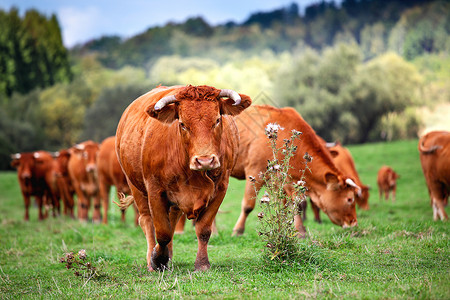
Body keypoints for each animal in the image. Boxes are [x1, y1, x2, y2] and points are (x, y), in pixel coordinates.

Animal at [114, 84, 251, 272]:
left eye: (217, 120)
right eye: (182, 124)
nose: (205, 160)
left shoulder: (221, 188)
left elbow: (203, 229)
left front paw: (202, 263)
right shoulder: (155, 190)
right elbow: (162, 232)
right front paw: (157, 259)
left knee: (172, 219)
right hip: (135, 186)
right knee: (147, 221)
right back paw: (152, 258)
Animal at [230, 105, 356, 237]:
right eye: (350, 199)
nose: (354, 223)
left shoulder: (286, 181)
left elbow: (294, 204)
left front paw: (299, 230)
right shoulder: (255, 172)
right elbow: (248, 206)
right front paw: (238, 230)